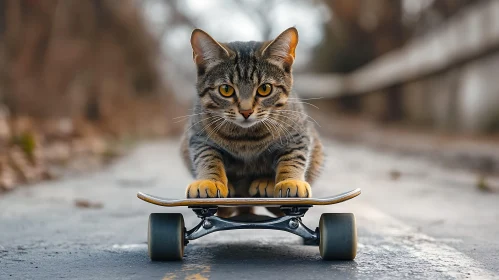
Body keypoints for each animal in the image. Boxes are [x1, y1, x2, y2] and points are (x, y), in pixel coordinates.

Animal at [181, 26, 324, 206]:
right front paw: (210, 181)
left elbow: (293, 157)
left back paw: (266, 181)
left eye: (265, 88)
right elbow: (207, 157)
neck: (246, 138)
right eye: (225, 90)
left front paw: (291, 181)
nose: (246, 111)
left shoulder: (298, 133)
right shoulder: (199, 135)